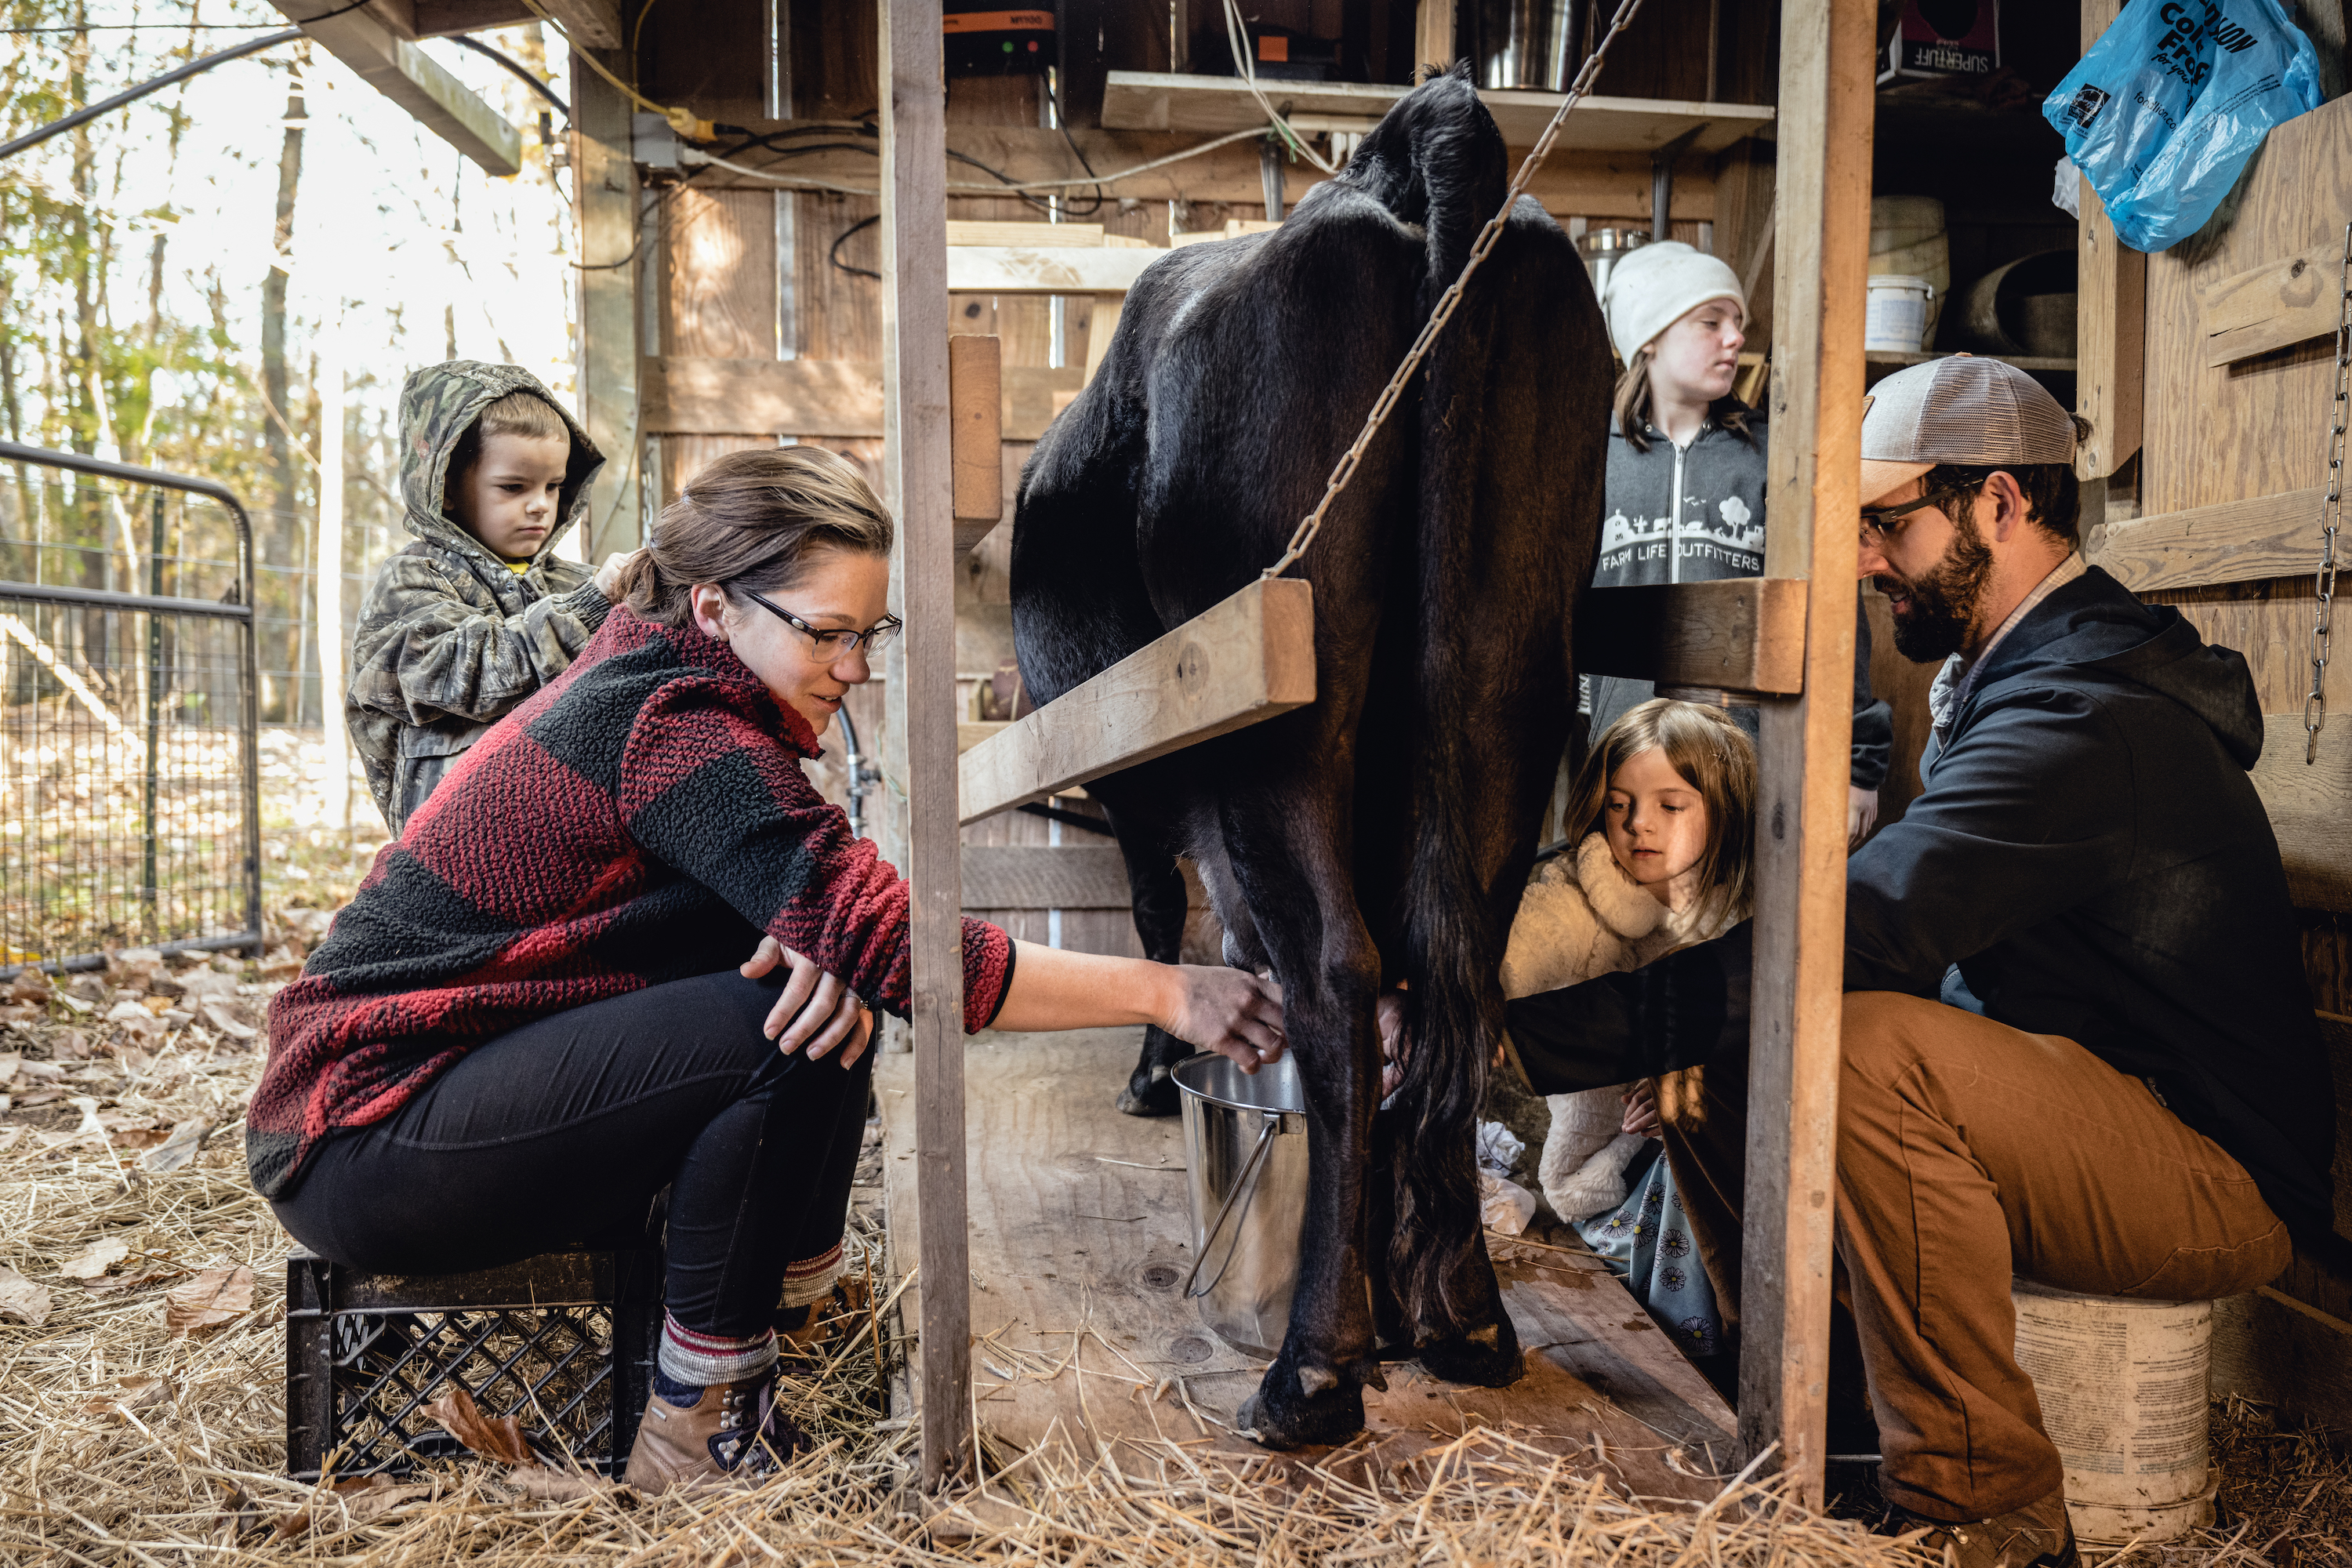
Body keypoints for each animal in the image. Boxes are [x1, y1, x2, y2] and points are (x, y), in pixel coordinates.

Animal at [1009, 67, 1611, 1449]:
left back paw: (1313, 1372)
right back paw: (1462, 1320)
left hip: (1277, 720)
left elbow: (1164, 916)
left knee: (1341, 973)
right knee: (1446, 984)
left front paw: (1152, 1074)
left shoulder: (1137, 779)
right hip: (1510, 683)